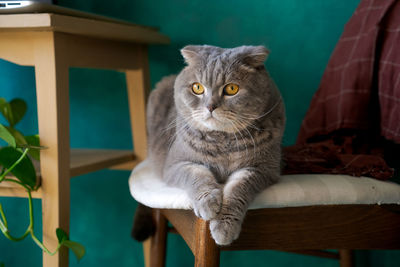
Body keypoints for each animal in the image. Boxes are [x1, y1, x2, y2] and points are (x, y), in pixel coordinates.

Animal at [144, 45, 284, 246]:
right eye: (197, 87)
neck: (223, 139)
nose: (210, 106)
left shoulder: (263, 168)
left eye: (232, 89)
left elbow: (238, 189)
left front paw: (224, 228)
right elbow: (197, 175)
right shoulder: (175, 165)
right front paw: (208, 204)